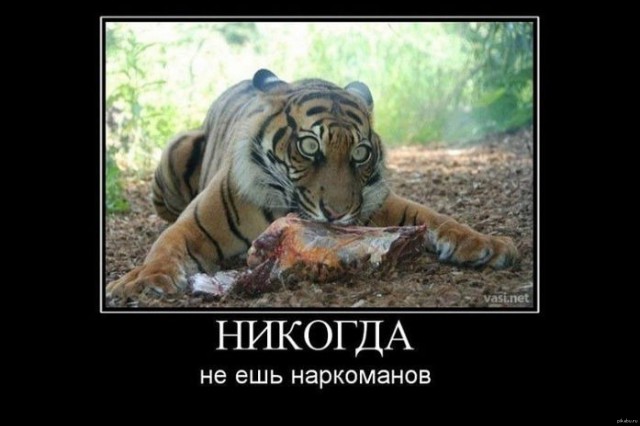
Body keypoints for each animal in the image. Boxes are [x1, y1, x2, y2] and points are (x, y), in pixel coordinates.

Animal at [106, 69, 518, 299]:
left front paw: (487, 243)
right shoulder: (193, 227)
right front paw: (142, 281)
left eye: (360, 153)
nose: (336, 214)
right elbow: (164, 247)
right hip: (174, 153)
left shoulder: (379, 203)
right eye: (309, 146)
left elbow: (433, 217)